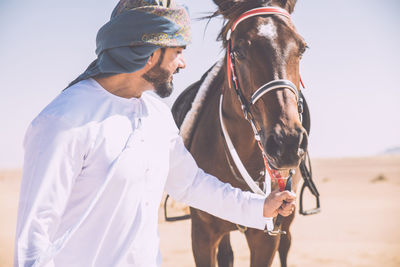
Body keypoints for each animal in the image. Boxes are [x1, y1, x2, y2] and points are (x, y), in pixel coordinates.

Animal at [172, 1, 310, 266]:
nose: (287, 143)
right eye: (237, 52)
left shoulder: (266, 237)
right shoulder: (202, 235)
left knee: (285, 246)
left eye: (302, 48)